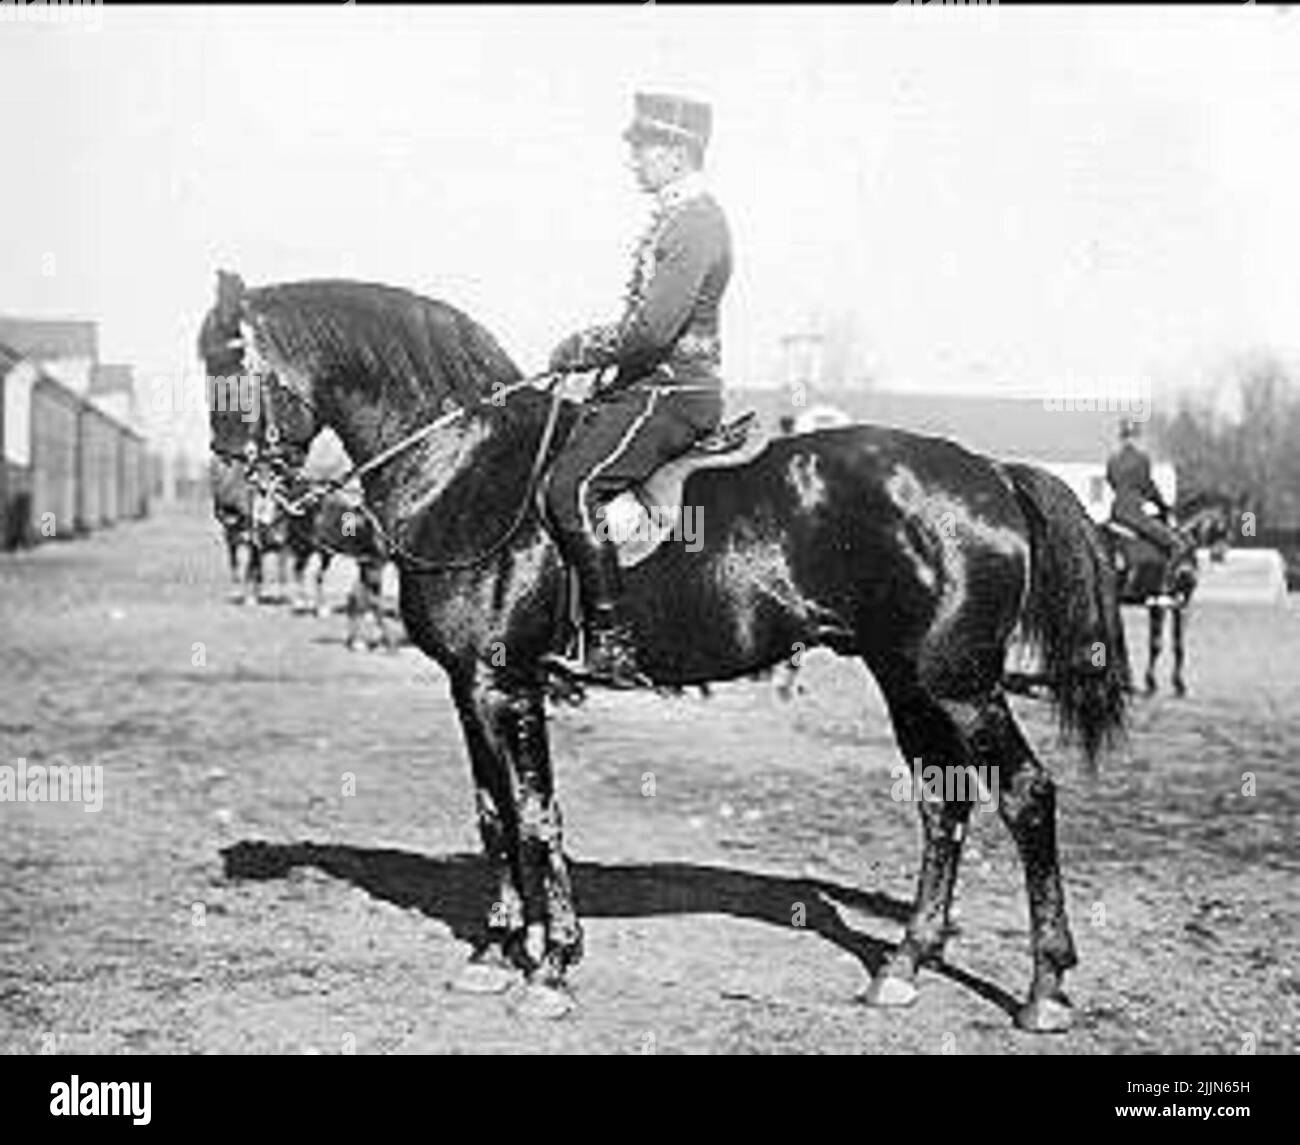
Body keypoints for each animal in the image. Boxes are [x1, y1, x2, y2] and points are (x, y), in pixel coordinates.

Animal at [203, 277, 1127, 1032]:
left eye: (231, 371)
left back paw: (1045, 988)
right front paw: (495, 953)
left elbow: (535, 814)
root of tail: (988, 470)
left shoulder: (507, 686)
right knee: (944, 802)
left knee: (1026, 795)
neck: (464, 469)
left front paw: (553, 966)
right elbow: (493, 813)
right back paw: (902, 965)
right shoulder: (470, 689)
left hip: (960, 684)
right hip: (907, 680)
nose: (233, 508)